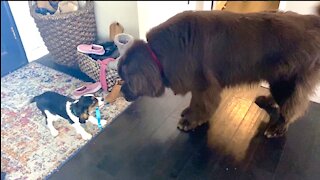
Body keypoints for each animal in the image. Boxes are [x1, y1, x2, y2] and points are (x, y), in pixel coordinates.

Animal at [118, 7, 320, 138]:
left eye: (126, 81)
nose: (121, 92)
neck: (161, 54)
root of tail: (313, 21)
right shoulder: (197, 84)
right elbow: (195, 101)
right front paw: (188, 112)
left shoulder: (205, 85)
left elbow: (201, 104)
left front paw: (191, 121)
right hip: (277, 76)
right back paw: (267, 101)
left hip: (288, 79)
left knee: (292, 105)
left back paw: (278, 127)